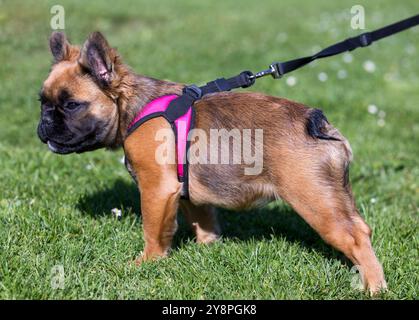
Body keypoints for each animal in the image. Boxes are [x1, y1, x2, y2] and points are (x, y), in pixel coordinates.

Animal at [38, 32, 388, 296]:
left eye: (71, 105)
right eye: (42, 102)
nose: (44, 122)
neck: (132, 106)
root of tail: (315, 122)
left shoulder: (156, 189)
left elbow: (153, 230)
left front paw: (147, 262)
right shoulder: (185, 190)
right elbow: (202, 219)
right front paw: (208, 248)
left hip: (315, 200)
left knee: (356, 237)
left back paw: (374, 287)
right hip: (334, 194)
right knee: (360, 227)